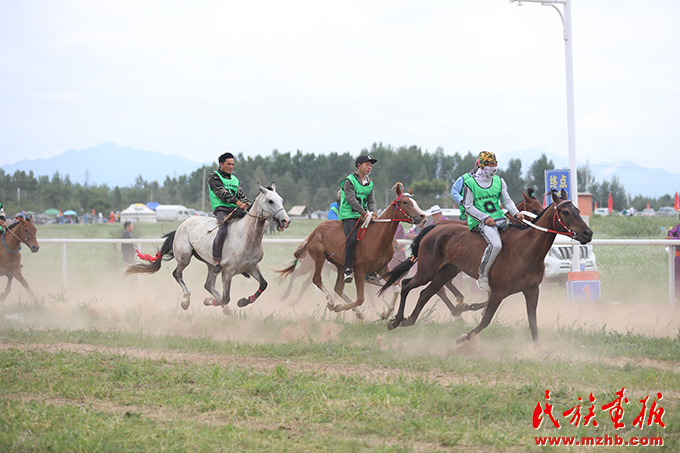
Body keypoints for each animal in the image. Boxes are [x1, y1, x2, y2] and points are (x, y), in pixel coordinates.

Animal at [126, 182, 290, 312]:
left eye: (281, 200)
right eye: (270, 201)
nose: (285, 221)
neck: (246, 237)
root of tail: (181, 225)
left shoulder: (251, 266)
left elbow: (263, 284)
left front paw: (243, 301)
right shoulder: (227, 272)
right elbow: (226, 298)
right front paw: (209, 301)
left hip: (211, 265)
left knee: (208, 285)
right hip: (185, 258)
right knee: (177, 274)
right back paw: (186, 301)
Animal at [274, 181, 424, 318]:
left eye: (415, 201)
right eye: (405, 202)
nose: (423, 216)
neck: (377, 238)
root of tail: (313, 233)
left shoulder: (382, 268)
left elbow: (397, 287)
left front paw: (385, 313)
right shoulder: (359, 270)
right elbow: (361, 298)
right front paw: (340, 307)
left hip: (339, 265)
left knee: (335, 288)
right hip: (317, 259)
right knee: (312, 279)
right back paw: (324, 301)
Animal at [380, 189, 592, 344]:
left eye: (578, 210)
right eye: (565, 212)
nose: (587, 233)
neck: (525, 249)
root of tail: (435, 227)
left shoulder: (532, 290)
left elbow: (533, 323)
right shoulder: (498, 291)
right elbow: (486, 319)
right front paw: (463, 337)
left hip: (446, 271)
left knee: (427, 292)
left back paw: (410, 319)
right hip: (427, 270)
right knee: (407, 284)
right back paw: (396, 320)